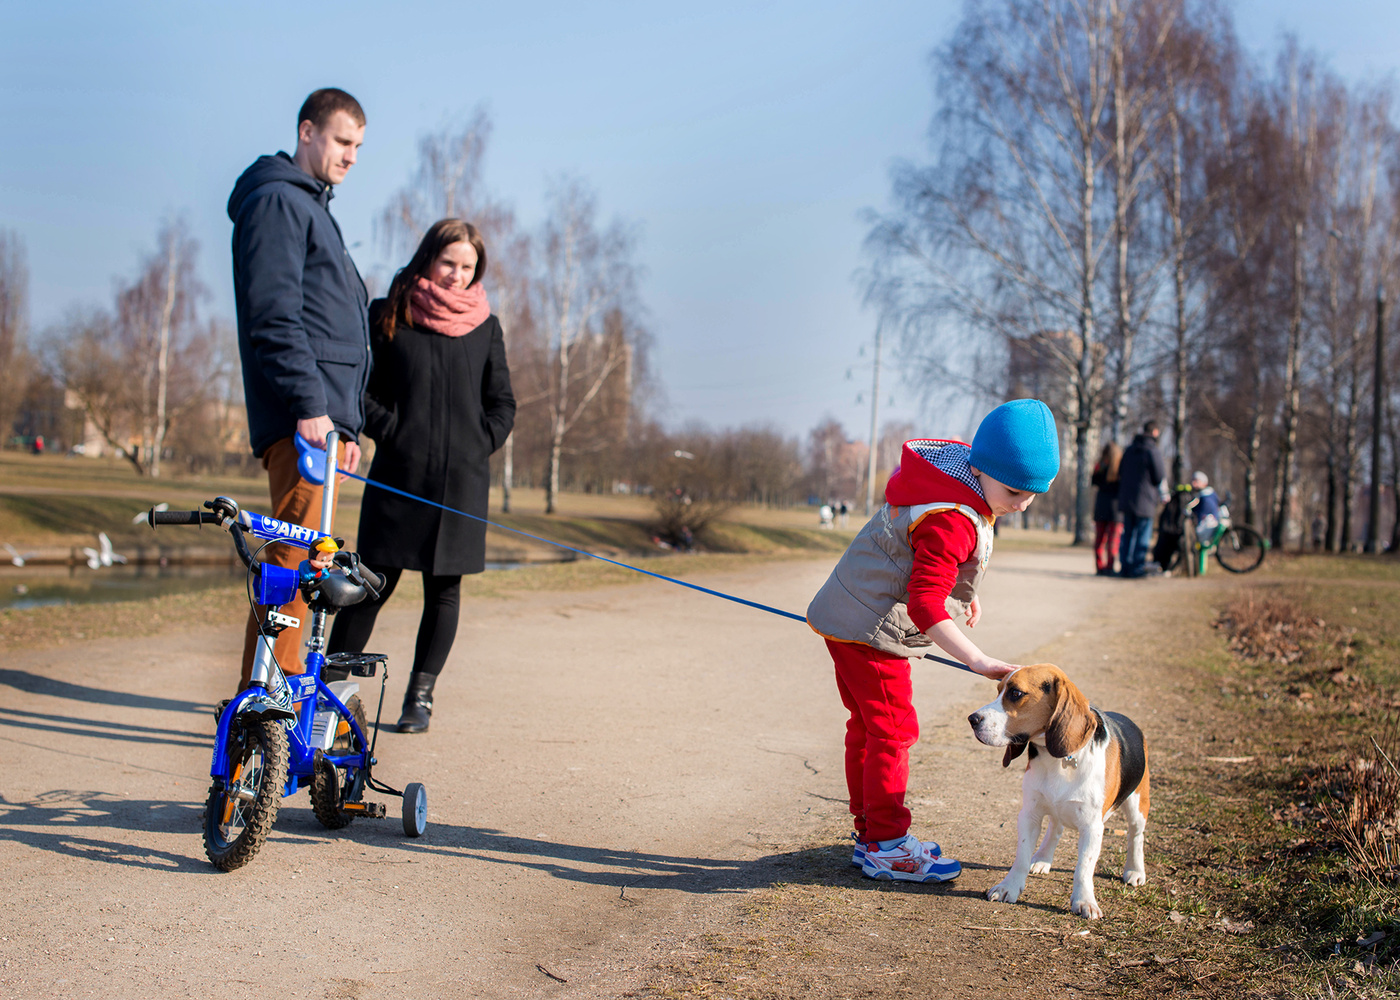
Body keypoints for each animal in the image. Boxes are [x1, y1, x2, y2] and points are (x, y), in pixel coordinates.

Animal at [968, 661, 1153, 918]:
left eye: (1015, 693)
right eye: (998, 691)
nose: (972, 719)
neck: (1059, 760)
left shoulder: (1092, 827)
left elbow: (1083, 867)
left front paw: (1084, 901)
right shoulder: (1029, 814)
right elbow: (1021, 856)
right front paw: (1009, 887)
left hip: (1137, 804)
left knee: (1136, 835)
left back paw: (1135, 870)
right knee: (1055, 828)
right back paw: (1043, 858)